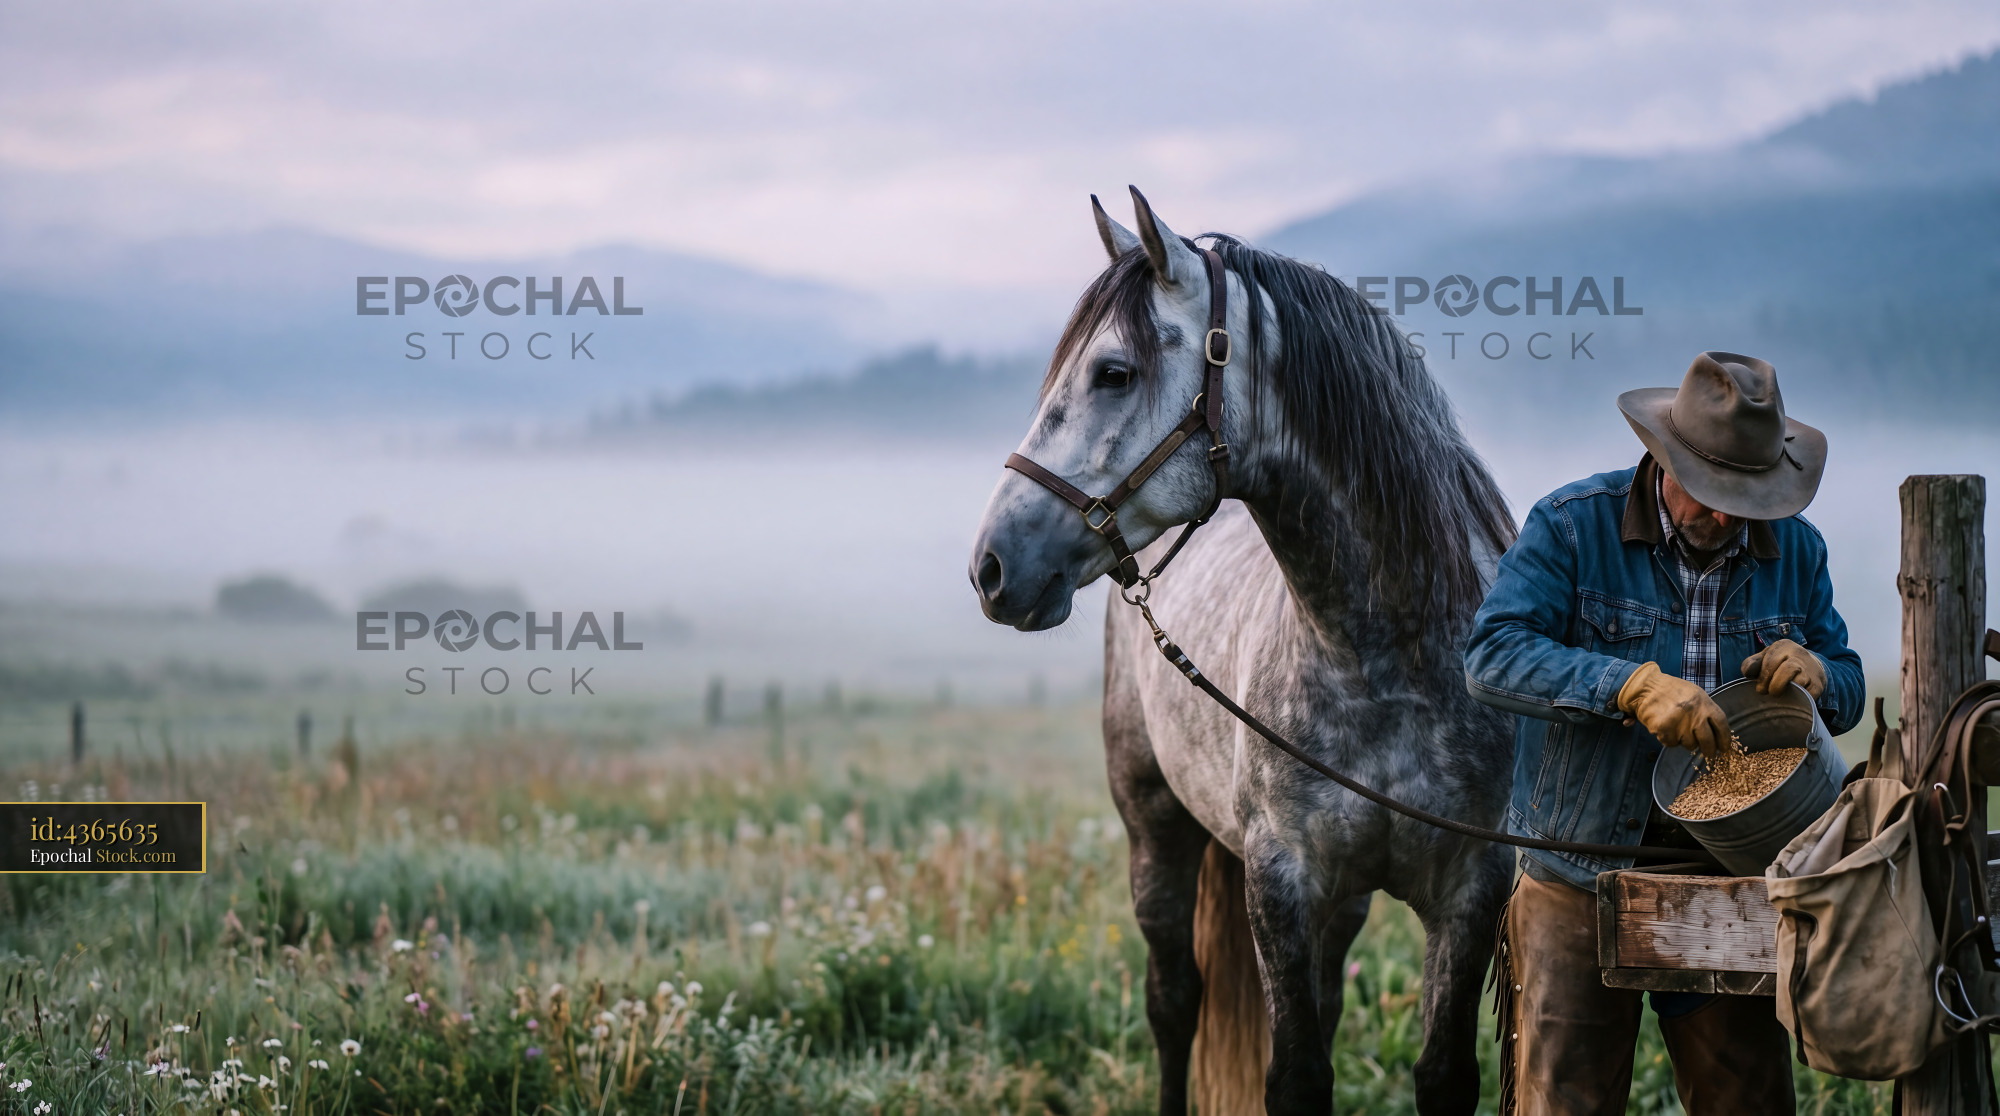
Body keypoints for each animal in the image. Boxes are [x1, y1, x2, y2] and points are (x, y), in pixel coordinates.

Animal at [968, 188, 1519, 1115]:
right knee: (1173, 1001)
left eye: (1113, 372)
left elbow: (1440, 1072)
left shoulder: (1470, 887)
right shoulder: (1281, 883)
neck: (1387, 664)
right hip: (1155, 829)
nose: (991, 566)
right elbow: (1292, 1072)